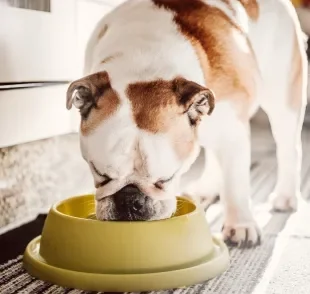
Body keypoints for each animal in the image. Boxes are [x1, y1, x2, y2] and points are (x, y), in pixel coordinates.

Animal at [66, 0, 308, 247]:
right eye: (100, 174)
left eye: (166, 179)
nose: (129, 201)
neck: (144, 64)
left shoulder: (234, 134)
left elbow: (236, 182)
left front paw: (241, 226)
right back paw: (205, 190)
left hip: (283, 98)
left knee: (288, 147)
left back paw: (286, 197)